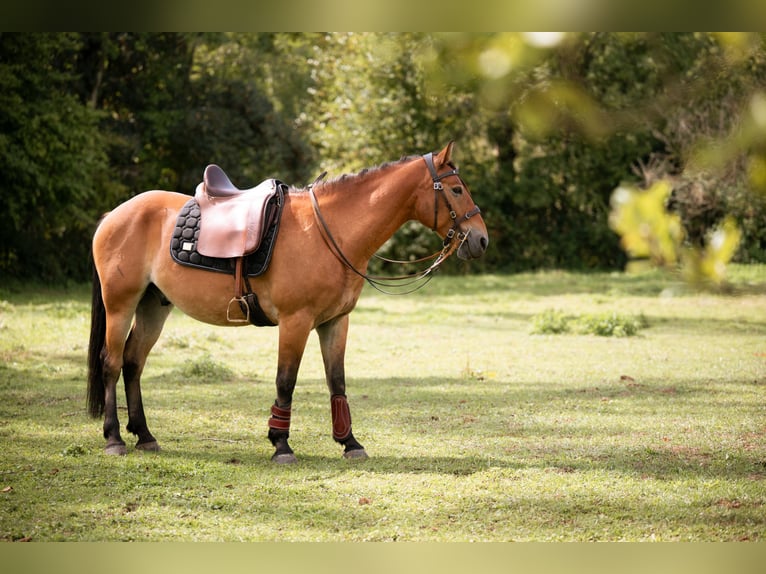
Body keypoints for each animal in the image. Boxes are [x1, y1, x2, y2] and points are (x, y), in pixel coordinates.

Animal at [87, 141, 489, 463]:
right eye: (456, 189)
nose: (481, 239)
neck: (331, 232)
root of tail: (113, 216)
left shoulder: (335, 322)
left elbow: (336, 381)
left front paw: (350, 442)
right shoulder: (296, 322)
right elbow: (286, 381)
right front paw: (280, 444)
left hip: (153, 307)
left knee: (133, 363)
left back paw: (145, 435)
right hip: (121, 305)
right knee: (112, 363)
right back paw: (114, 438)